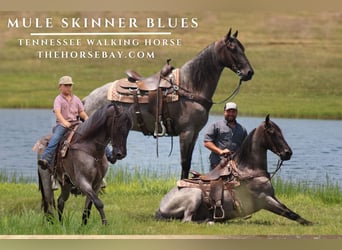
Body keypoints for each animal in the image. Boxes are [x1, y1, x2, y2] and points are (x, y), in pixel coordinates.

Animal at [83, 28, 254, 179]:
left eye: (243, 48)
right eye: (232, 48)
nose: (249, 72)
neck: (190, 85)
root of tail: (87, 100)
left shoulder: (195, 133)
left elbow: (188, 162)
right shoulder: (186, 132)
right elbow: (185, 163)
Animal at [155, 116, 312, 226]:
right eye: (271, 132)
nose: (288, 153)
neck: (249, 171)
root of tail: (161, 207)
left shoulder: (272, 196)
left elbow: (288, 209)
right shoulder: (264, 199)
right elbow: (288, 212)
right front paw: (310, 223)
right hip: (195, 196)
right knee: (187, 220)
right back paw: (211, 220)